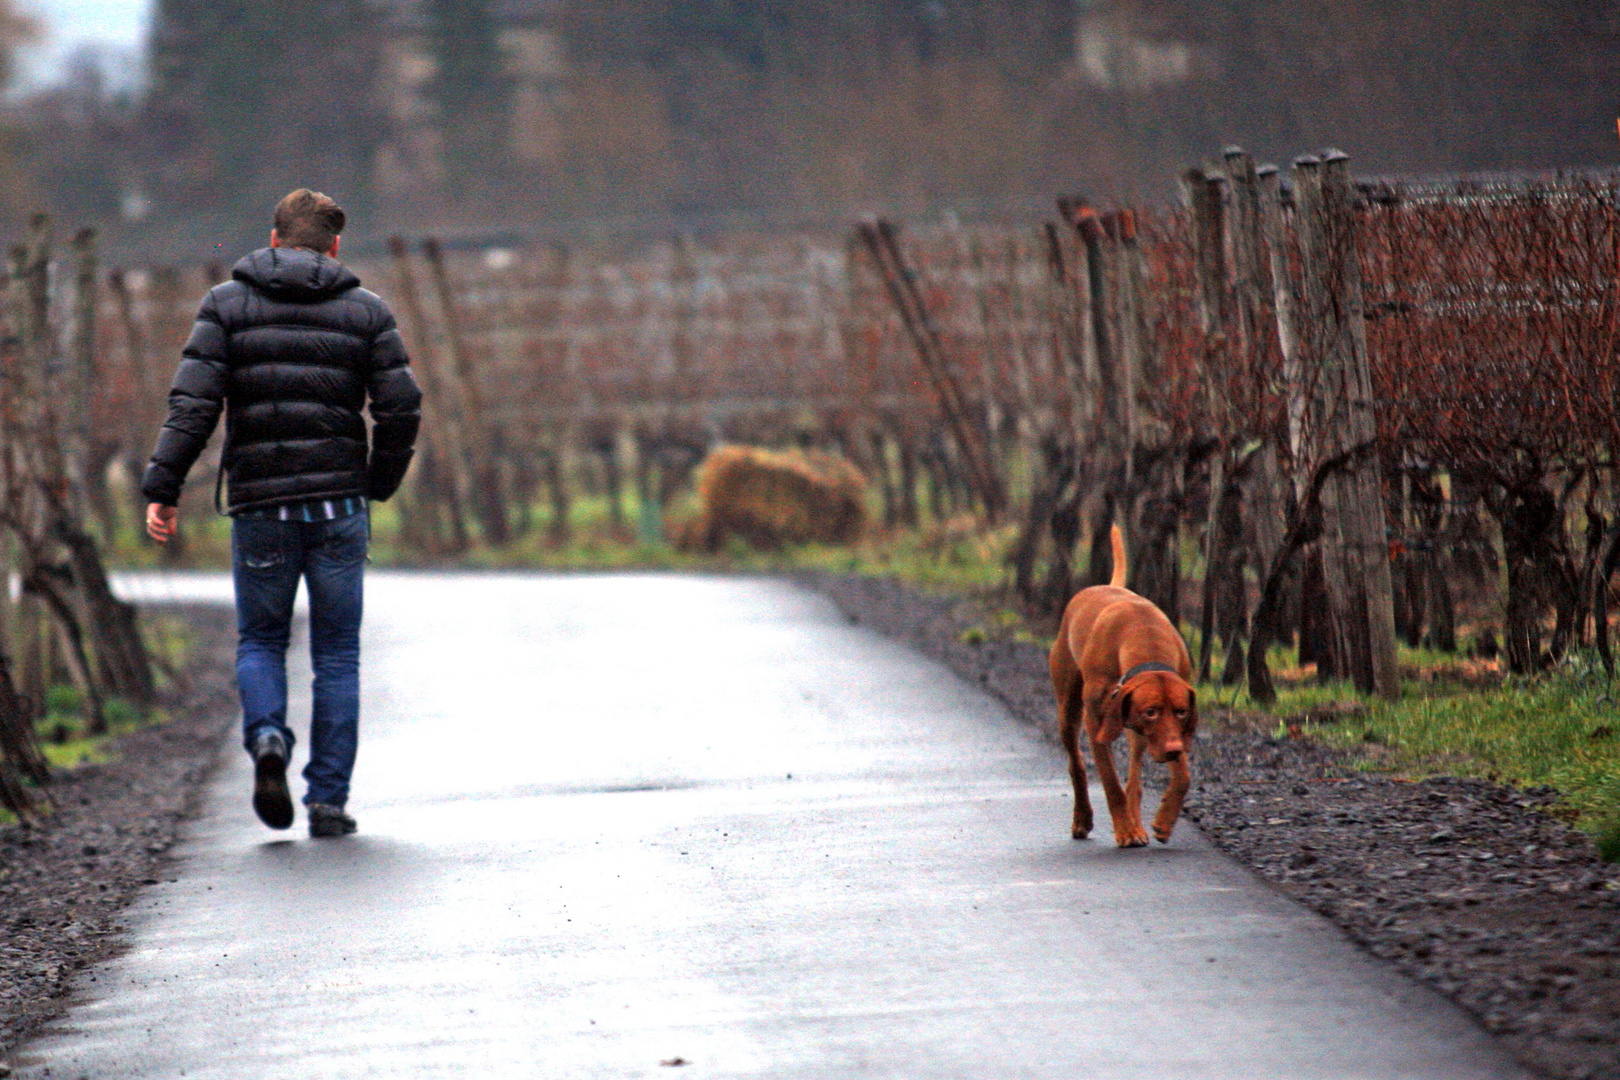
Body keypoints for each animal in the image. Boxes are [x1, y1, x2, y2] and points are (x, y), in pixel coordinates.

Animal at [1043, 527, 1198, 848]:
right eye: (1151, 711)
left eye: (1181, 712)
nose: (1174, 750)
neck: (1145, 637)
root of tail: (1102, 585)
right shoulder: (1097, 722)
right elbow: (1111, 783)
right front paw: (1125, 830)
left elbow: (1183, 776)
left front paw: (1164, 820)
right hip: (1069, 710)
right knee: (1076, 764)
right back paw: (1083, 819)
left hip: (1133, 729)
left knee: (1135, 775)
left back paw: (1136, 818)